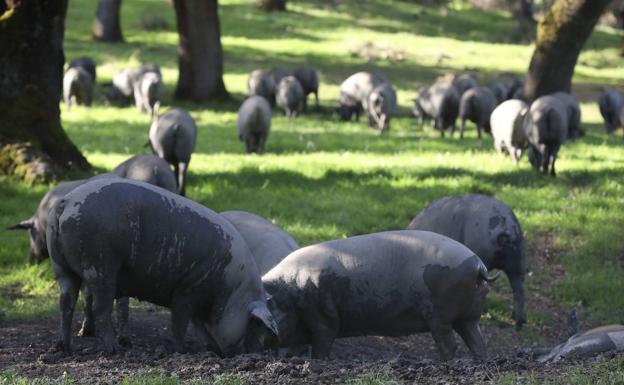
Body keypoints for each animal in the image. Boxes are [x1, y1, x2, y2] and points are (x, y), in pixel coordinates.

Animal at [49, 178, 280, 356]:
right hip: (100, 265)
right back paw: (114, 350)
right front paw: (177, 350)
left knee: (65, 304)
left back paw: (63, 348)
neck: (231, 289)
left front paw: (210, 349)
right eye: (253, 324)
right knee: (100, 308)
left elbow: (200, 328)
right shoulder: (189, 288)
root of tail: (66, 202)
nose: (251, 354)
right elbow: (179, 322)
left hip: (61, 268)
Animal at [260, 228, 494, 360]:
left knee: (450, 344)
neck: (289, 292)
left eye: (270, 306)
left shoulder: (322, 315)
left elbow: (322, 343)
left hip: (440, 315)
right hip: (470, 316)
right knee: (477, 341)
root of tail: (478, 266)